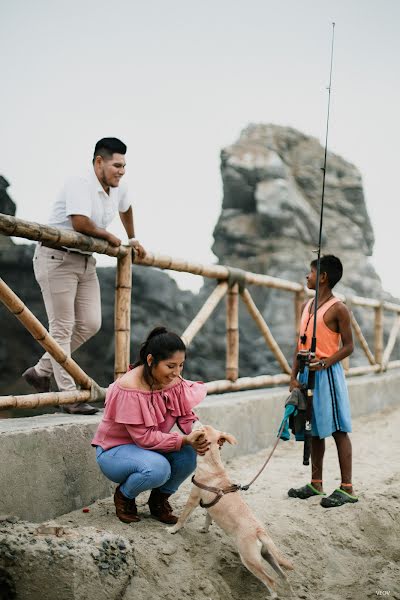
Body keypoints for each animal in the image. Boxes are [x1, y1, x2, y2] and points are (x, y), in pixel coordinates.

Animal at [169, 424, 294, 596]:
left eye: (200, 427)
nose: (194, 421)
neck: (213, 464)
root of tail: (259, 531)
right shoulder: (209, 506)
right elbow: (208, 517)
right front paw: (204, 529)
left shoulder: (193, 499)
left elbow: (182, 517)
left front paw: (173, 529)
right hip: (267, 555)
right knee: (284, 577)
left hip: (249, 560)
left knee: (270, 581)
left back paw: (272, 596)